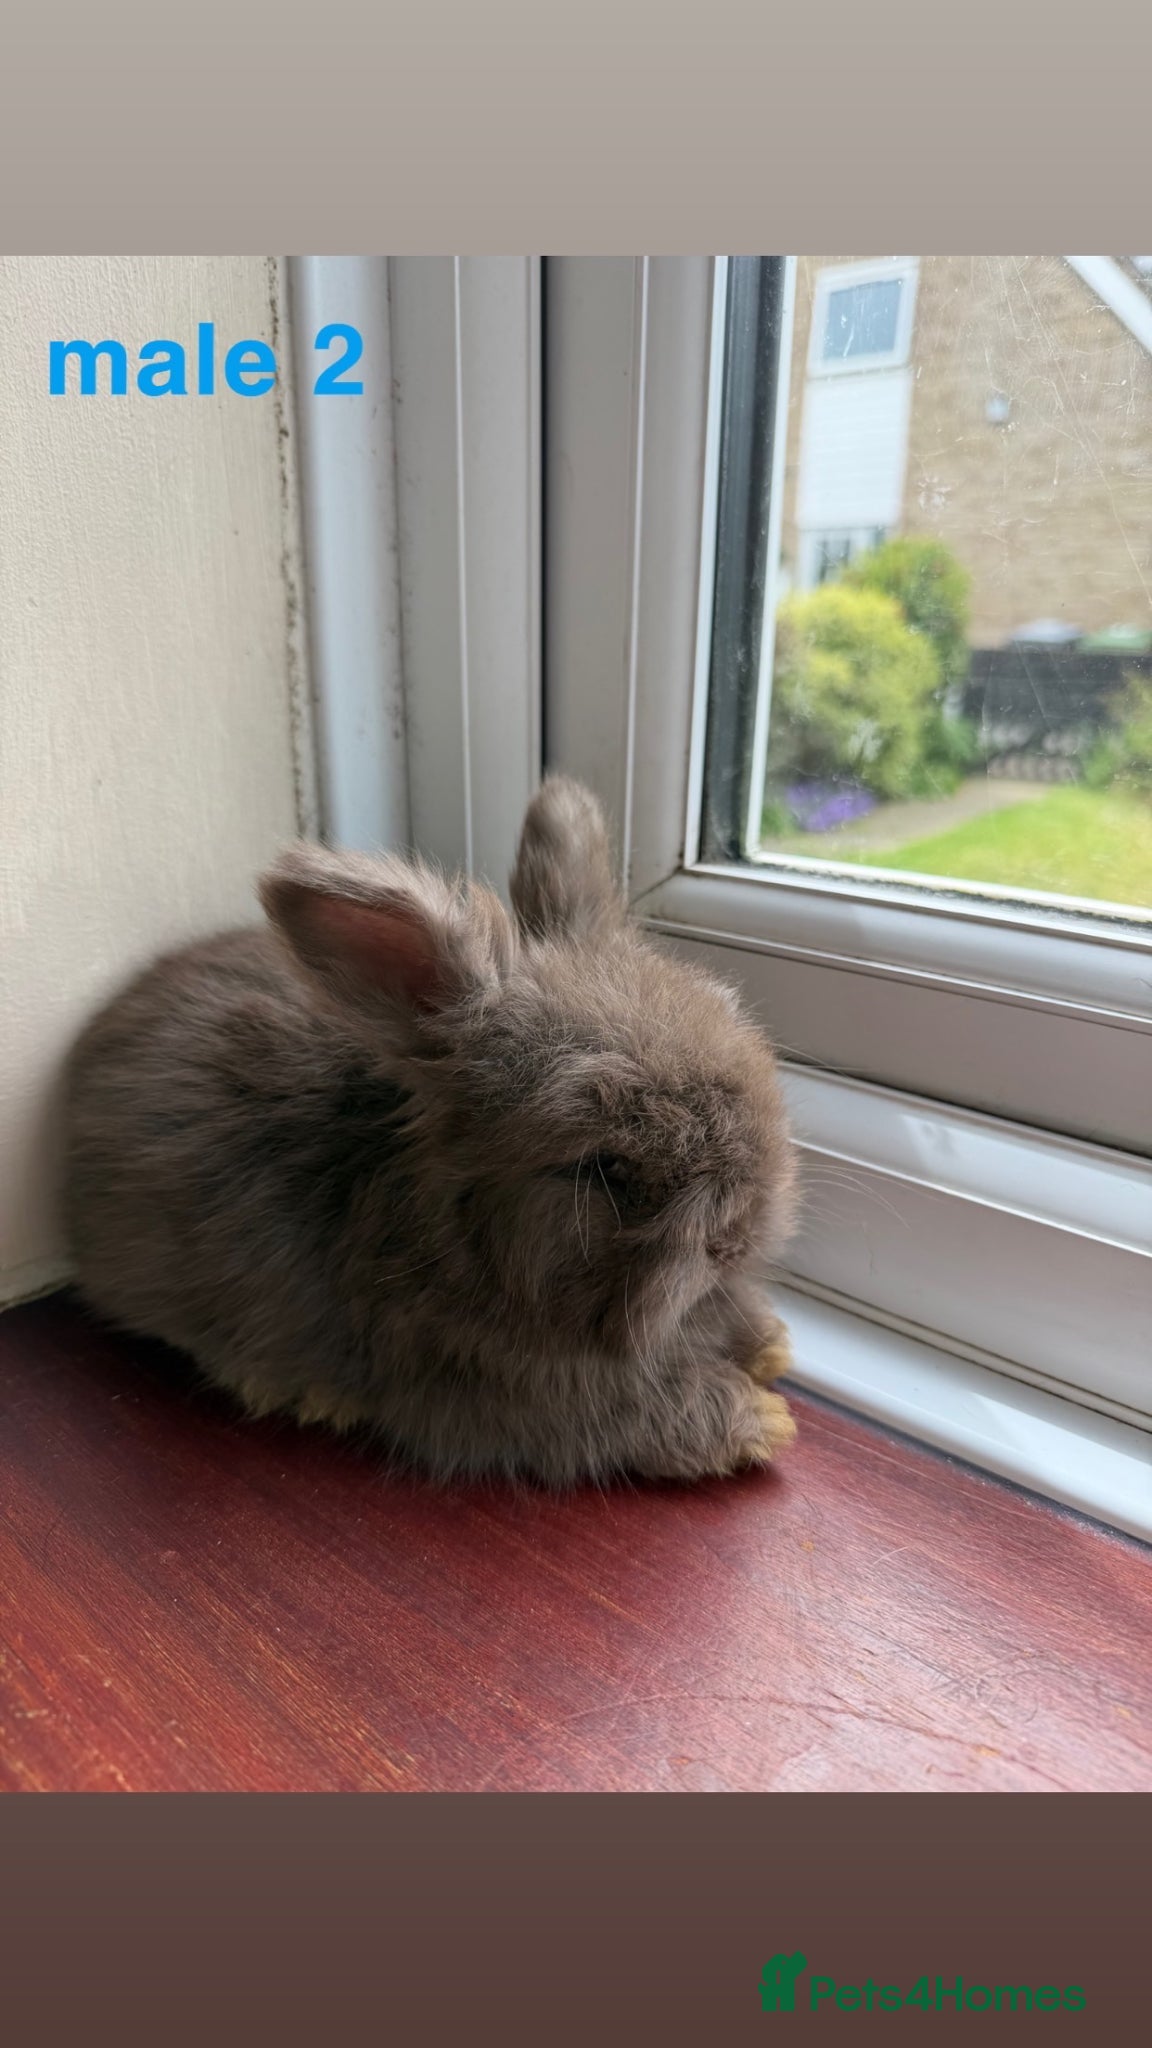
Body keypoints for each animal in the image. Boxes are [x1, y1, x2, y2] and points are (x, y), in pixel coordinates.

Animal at [63, 776, 798, 1487]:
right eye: (605, 1168)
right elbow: (634, 1417)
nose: (735, 1241)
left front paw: (770, 1344)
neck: (461, 1248)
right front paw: (763, 1420)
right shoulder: (507, 1403)